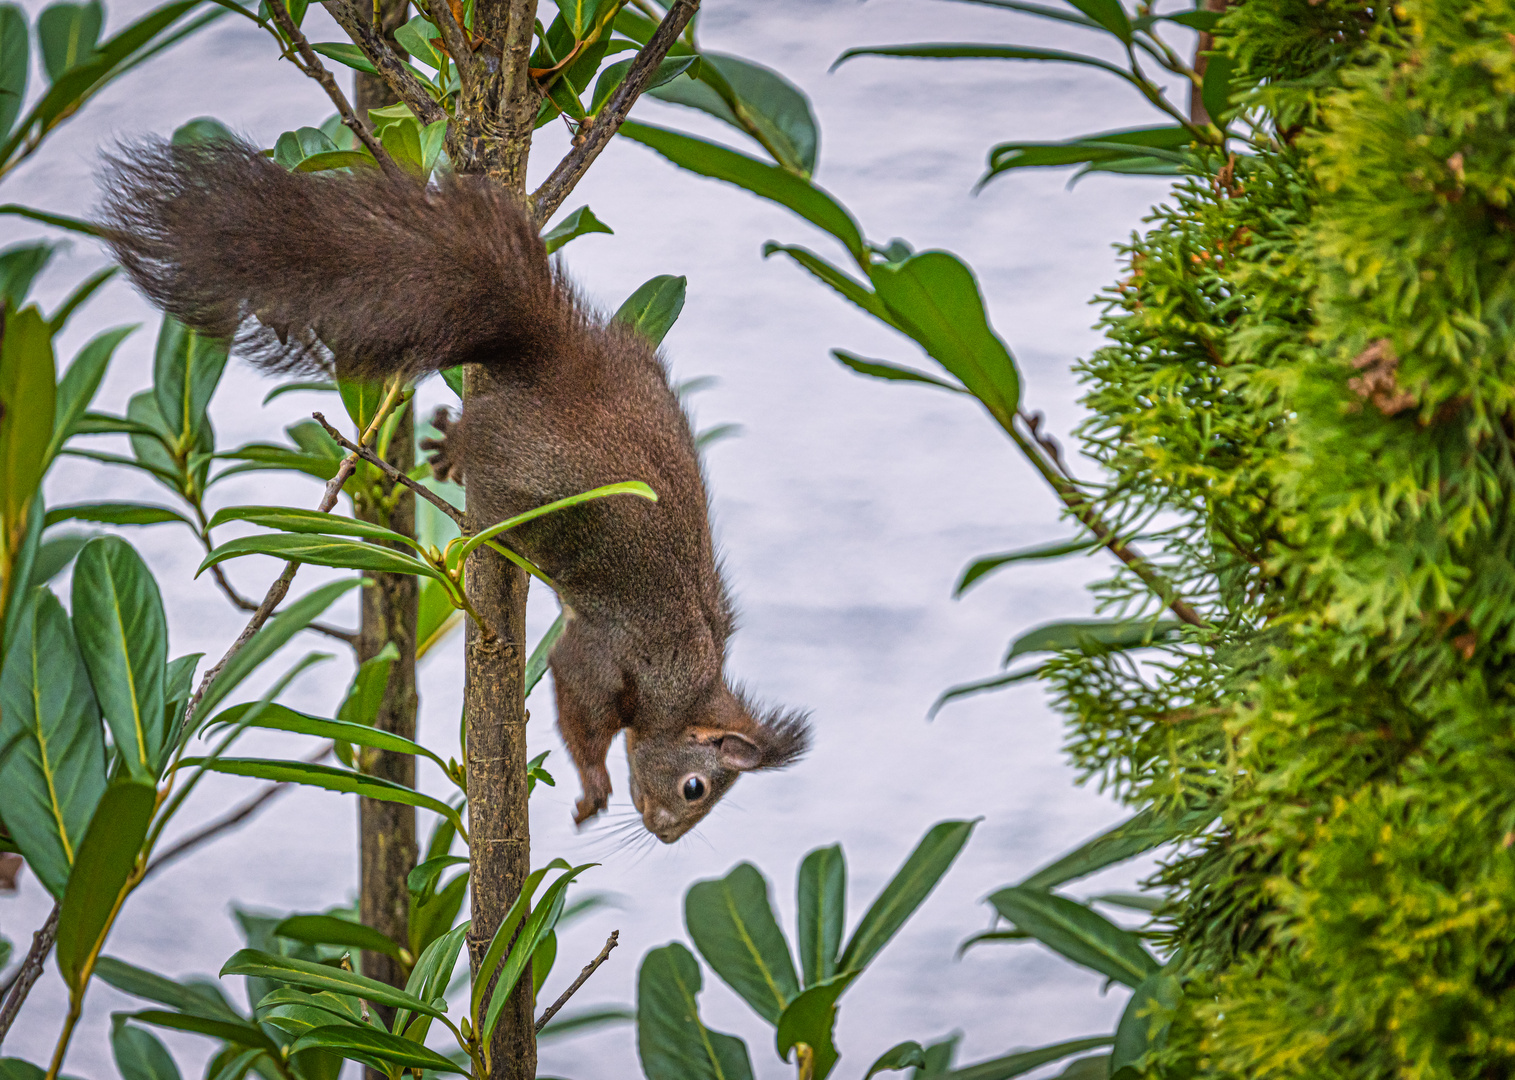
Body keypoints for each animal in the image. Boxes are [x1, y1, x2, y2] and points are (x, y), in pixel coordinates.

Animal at [99, 137, 812, 842]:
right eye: (696, 789)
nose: (664, 834)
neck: (693, 690)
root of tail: (557, 358)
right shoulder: (625, 654)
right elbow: (578, 697)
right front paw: (593, 789)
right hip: (527, 459)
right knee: (486, 441)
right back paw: (453, 449)